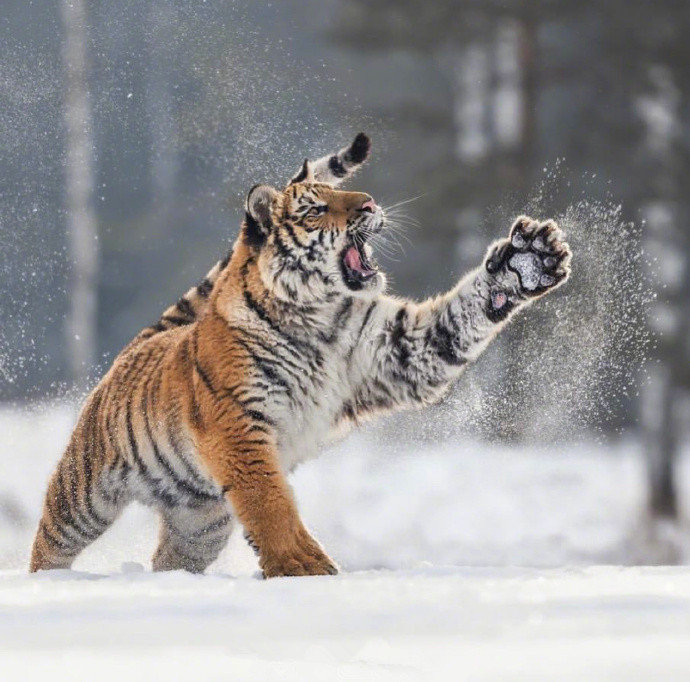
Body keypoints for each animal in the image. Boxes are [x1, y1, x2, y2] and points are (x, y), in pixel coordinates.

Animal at [29, 131, 568, 572]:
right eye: (316, 208)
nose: (370, 203)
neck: (320, 317)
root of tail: (139, 342)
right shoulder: (238, 424)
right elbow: (272, 505)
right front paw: (305, 569)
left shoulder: (401, 354)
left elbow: (460, 317)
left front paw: (527, 263)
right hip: (83, 493)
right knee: (50, 542)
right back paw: (48, 583)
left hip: (200, 520)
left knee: (170, 558)